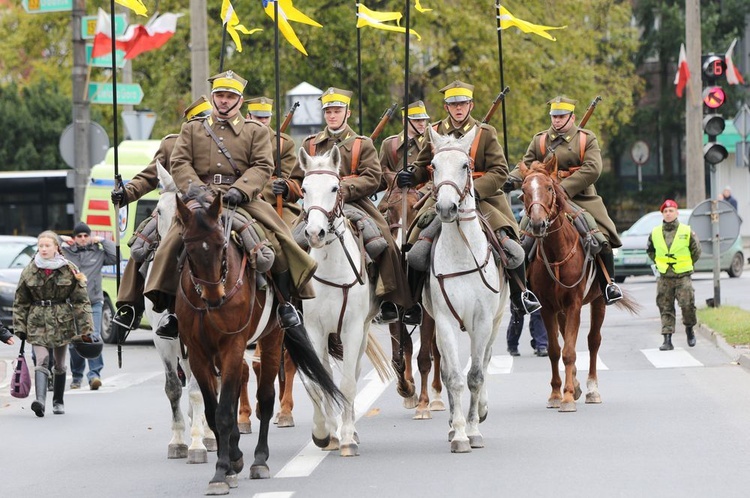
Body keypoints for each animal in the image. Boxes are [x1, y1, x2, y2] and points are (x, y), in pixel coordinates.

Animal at [175, 189, 342, 496]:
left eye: (221, 244)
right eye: (188, 250)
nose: (215, 298)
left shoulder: (233, 346)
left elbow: (224, 412)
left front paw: (221, 472)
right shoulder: (198, 353)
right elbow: (213, 410)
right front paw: (230, 463)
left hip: (273, 336)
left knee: (265, 397)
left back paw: (260, 461)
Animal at [300, 146, 394, 458]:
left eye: (334, 187)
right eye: (304, 188)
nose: (315, 234)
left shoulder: (351, 329)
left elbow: (349, 383)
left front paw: (347, 437)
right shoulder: (313, 330)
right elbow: (319, 380)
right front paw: (323, 433)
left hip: (362, 332)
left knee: (353, 372)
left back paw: (349, 429)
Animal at [426, 126, 508, 454]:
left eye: (465, 166)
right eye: (433, 166)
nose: (447, 208)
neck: (462, 253)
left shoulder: (482, 321)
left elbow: (475, 376)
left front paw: (473, 430)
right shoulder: (445, 321)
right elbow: (453, 377)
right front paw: (459, 432)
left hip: (495, 324)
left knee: (484, 361)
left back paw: (482, 409)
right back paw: (452, 425)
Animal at [524, 159, 640, 412]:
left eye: (549, 188)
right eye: (524, 191)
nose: (538, 224)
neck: (555, 252)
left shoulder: (574, 304)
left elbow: (569, 351)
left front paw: (567, 397)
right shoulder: (548, 308)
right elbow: (555, 351)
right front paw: (556, 394)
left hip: (598, 302)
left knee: (593, 341)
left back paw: (591, 389)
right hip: (561, 311)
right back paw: (576, 384)